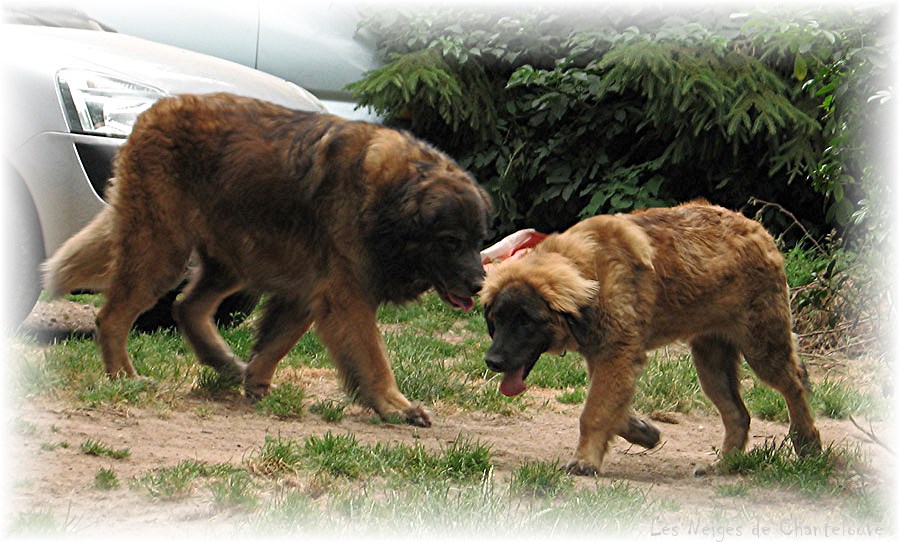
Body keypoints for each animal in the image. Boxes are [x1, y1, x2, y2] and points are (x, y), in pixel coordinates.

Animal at [42, 92, 492, 430]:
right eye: (450, 242)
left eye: (478, 241)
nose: (478, 285)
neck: (387, 196)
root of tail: (151, 113)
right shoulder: (346, 296)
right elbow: (373, 358)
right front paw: (394, 404)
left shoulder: (307, 289)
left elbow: (277, 341)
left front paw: (256, 380)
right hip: (162, 249)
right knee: (114, 317)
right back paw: (125, 377)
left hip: (235, 257)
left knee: (187, 306)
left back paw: (223, 362)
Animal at [486, 202, 824, 478]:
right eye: (496, 321)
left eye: (525, 322)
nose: (492, 361)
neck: (591, 271)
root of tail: (757, 228)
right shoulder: (605, 357)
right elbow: (610, 407)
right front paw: (644, 431)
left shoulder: (616, 355)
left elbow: (594, 411)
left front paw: (585, 461)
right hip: (711, 362)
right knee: (739, 414)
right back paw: (725, 465)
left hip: (761, 346)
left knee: (794, 385)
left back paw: (807, 443)